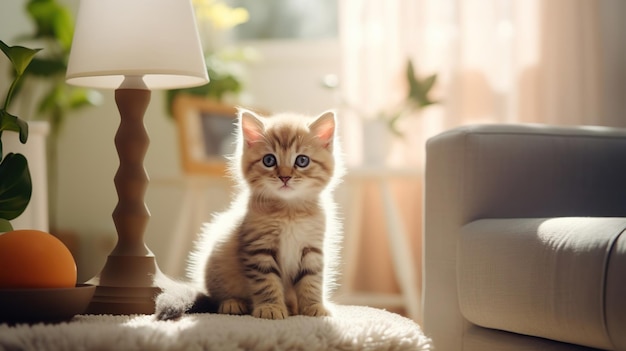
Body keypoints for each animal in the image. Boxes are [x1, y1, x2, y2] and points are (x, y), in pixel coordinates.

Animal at [154, 109, 344, 322]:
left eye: (302, 161)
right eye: (269, 160)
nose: (285, 176)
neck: (289, 211)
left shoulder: (312, 249)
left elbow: (312, 281)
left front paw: (314, 307)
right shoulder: (259, 249)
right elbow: (267, 282)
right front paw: (270, 307)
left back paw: (293, 307)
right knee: (217, 299)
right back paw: (233, 303)